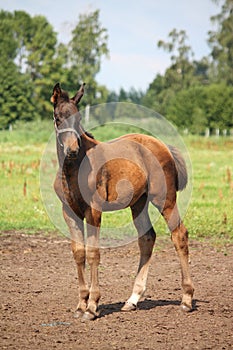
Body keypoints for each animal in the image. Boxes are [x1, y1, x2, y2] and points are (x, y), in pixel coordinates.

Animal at [51, 83, 195, 322]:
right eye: (58, 117)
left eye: (78, 117)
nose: (71, 150)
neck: (75, 168)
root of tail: (163, 146)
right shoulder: (69, 212)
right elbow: (79, 252)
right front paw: (81, 304)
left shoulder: (93, 210)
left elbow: (93, 252)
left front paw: (92, 307)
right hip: (139, 203)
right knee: (147, 238)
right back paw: (132, 300)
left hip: (165, 199)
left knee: (179, 235)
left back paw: (186, 299)